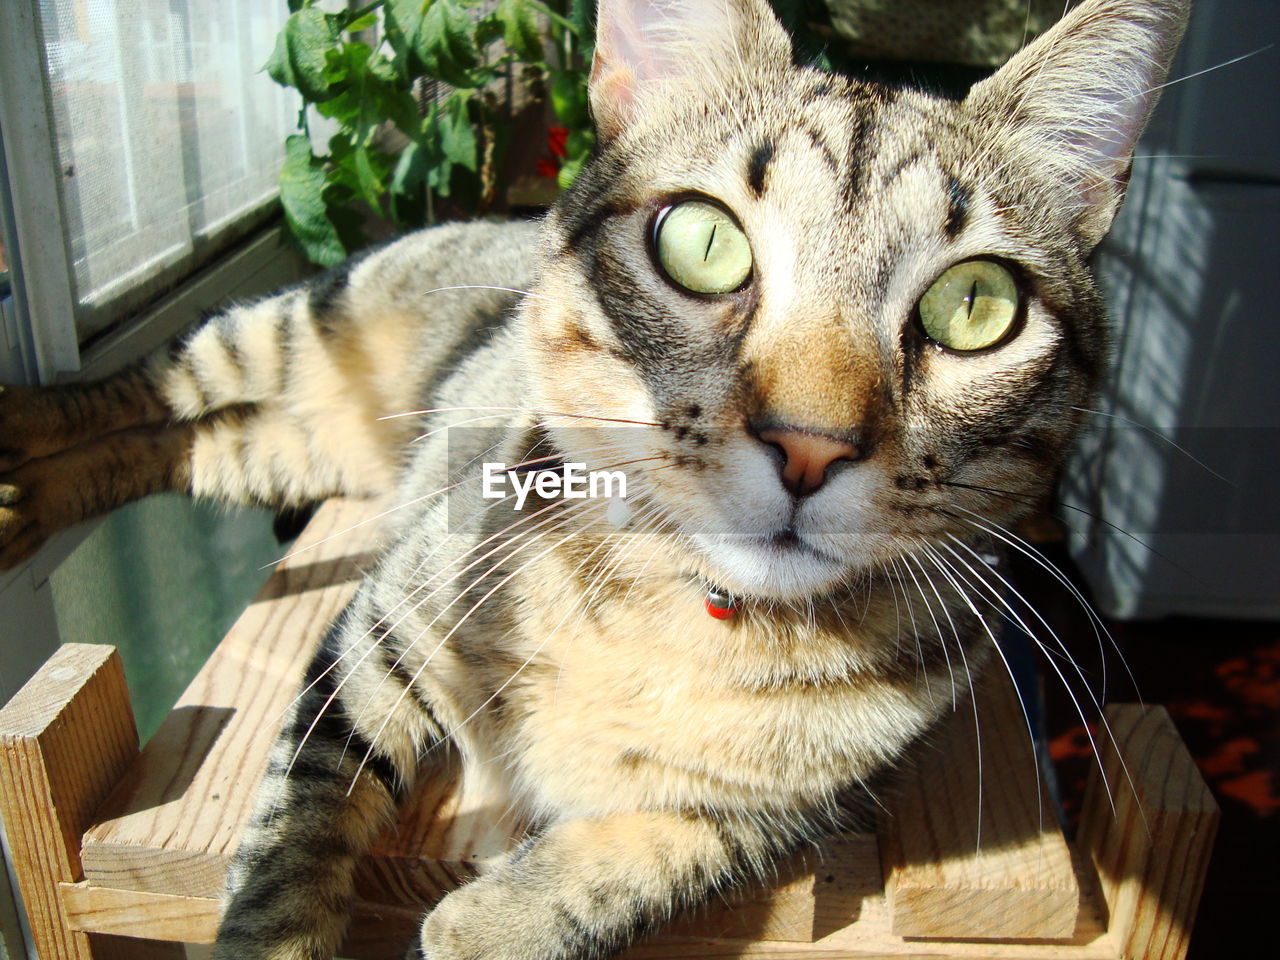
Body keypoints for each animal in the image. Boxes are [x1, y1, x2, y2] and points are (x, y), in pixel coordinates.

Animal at [0, 1, 1187, 960]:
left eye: (974, 305)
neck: (680, 618)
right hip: (299, 328)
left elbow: (654, 856)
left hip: (297, 442)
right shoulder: (383, 622)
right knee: (164, 382)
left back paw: (29, 487)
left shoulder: (793, 808)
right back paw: (25, 444)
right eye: (701, 242)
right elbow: (296, 827)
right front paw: (282, 932)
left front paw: (493, 920)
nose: (808, 445)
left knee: (199, 441)